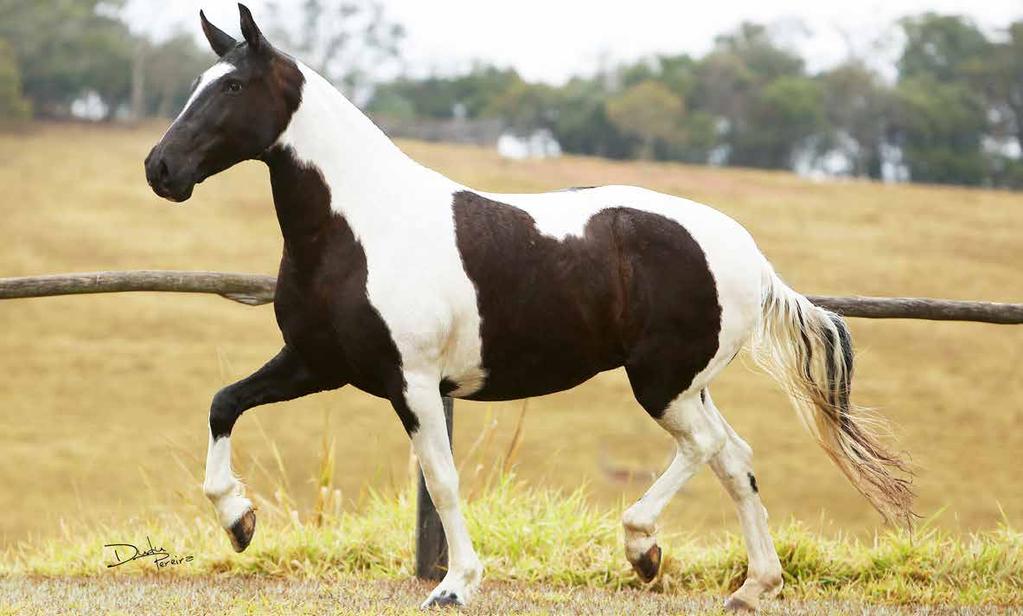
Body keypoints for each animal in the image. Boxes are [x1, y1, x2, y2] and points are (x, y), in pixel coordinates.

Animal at [142, 6, 912, 609]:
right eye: (197, 83)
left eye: (232, 85)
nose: (160, 169)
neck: (361, 227)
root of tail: (750, 258)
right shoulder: (316, 362)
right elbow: (223, 402)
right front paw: (239, 521)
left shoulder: (411, 383)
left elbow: (442, 481)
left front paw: (454, 586)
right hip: (688, 384)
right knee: (735, 458)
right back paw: (753, 587)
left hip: (661, 383)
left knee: (704, 449)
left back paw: (643, 550)